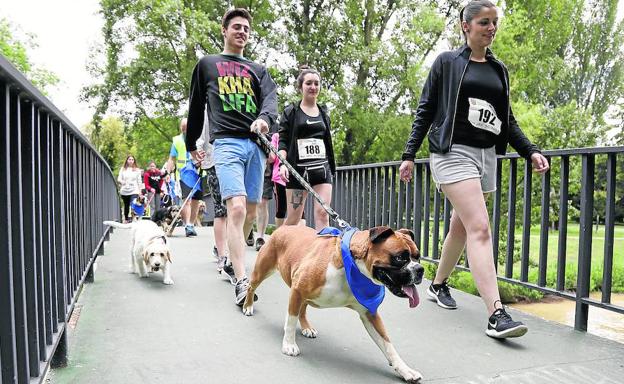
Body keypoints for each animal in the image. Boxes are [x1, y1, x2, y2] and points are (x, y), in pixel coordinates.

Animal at [243, 226, 424, 382]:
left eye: (418, 256)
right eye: (400, 258)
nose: (420, 269)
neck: (351, 266)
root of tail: (284, 227)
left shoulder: (370, 314)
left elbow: (388, 345)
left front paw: (405, 370)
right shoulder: (297, 290)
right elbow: (291, 321)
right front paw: (289, 344)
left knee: (303, 309)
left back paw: (306, 327)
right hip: (262, 271)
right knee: (251, 287)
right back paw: (247, 306)